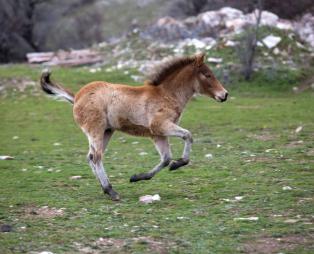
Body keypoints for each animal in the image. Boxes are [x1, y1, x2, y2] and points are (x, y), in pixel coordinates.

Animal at [41, 53, 228, 200]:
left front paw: (138, 177)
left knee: (91, 156)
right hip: (96, 130)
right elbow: (188, 135)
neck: (166, 95)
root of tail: (77, 97)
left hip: (107, 131)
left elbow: (166, 158)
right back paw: (111, 191)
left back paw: (105, 189)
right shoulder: (160, 126)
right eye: (207, 74)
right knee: (97, 157)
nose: (225, 94)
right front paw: (178, 163)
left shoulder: (157, 134)